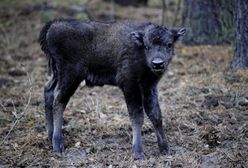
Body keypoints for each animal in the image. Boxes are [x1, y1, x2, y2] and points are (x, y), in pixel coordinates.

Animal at [38, 19, 185, 159]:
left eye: (169, 44)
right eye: (147, 46)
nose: (157, 64)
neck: (139, 48)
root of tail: (53, 25)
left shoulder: (149, 87)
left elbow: (156, 115)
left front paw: (165, 149)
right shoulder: (130, 85)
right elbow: (137, 116)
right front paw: (138, 153)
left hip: (58, 74)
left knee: (48, 91)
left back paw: (50, 136)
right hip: (70, 76)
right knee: (59, 100)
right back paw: (58, 145)